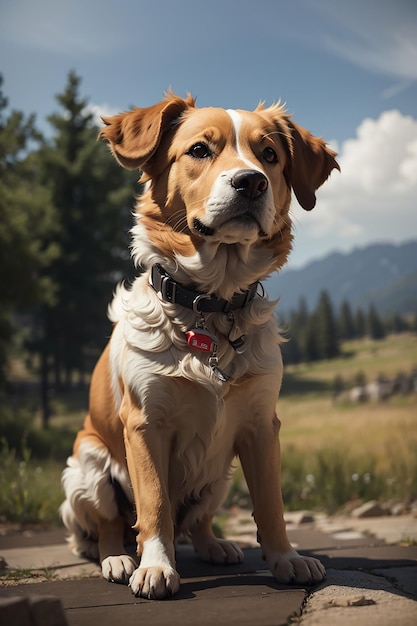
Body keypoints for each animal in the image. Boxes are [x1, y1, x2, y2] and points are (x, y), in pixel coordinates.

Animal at [61, 91, 340, 596]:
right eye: (198, 150)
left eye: (269, 155)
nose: (251, 182)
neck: (213, 303)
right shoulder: (145, 423)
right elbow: (153, 505)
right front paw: (155, 566)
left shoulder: (261, 425)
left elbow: (271, 504)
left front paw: (285, 557)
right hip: (87, 468)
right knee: (112, 524)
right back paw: (117, 559)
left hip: (217, 477)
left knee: (197, 520)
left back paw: (215, 546)